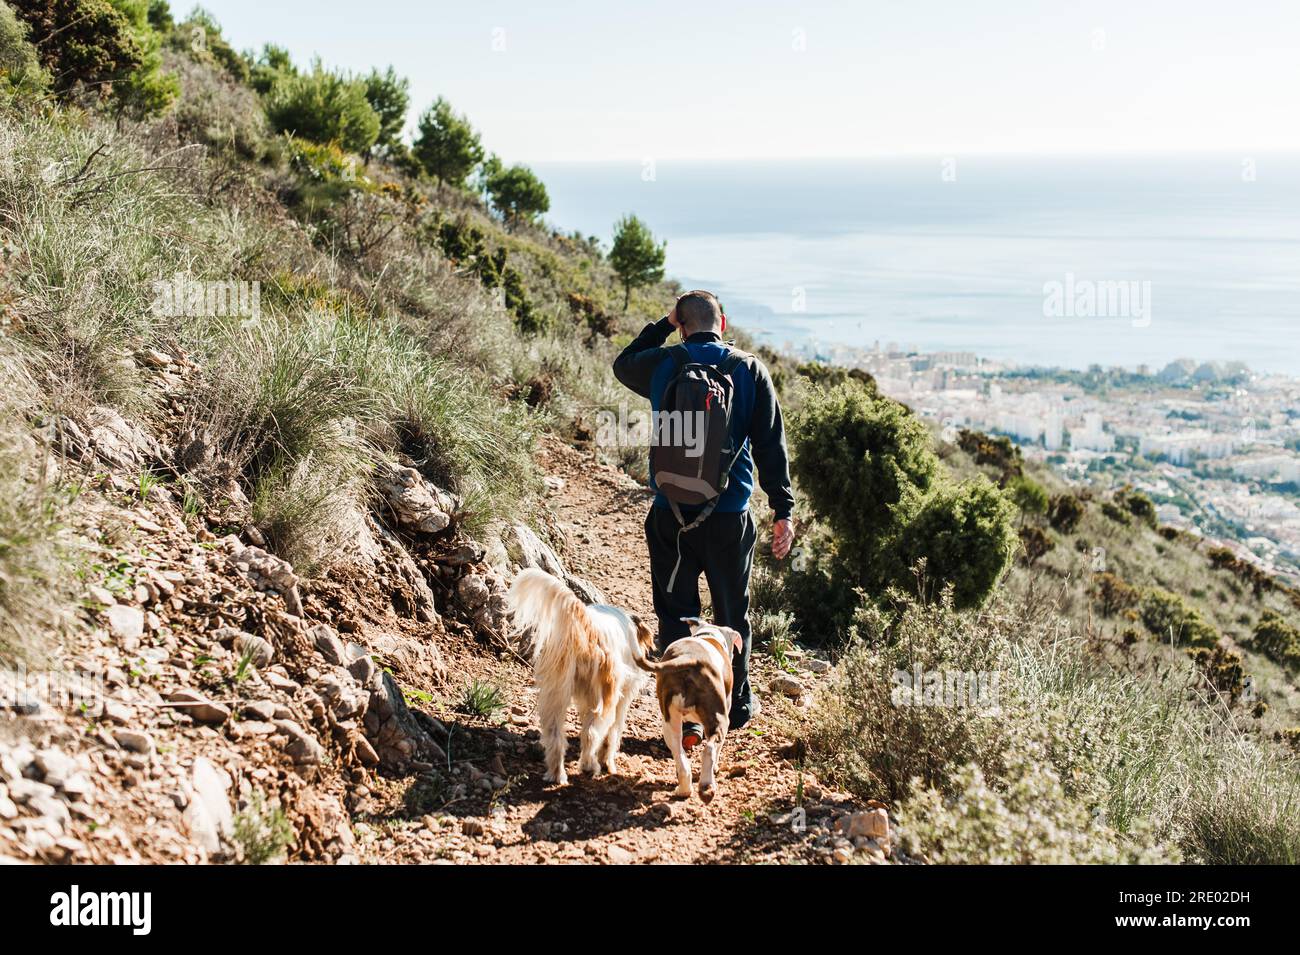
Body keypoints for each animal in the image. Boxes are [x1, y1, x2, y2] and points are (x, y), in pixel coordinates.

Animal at [501, 571, 655, 789]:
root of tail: (587, 629)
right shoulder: (620, 699)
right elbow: (611, 735)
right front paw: (608, 762)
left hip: (556, 693)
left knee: (555, 736)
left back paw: (556, 775)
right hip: (602, 698)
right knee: (592, 733)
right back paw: (590, 766)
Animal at [637, 623, 743, 805]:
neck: (709, 634)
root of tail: (689, 659)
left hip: (669, 722)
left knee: (679, 754)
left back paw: (684, 789)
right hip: (720, 718)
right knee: (709, 749)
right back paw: (706, 786)